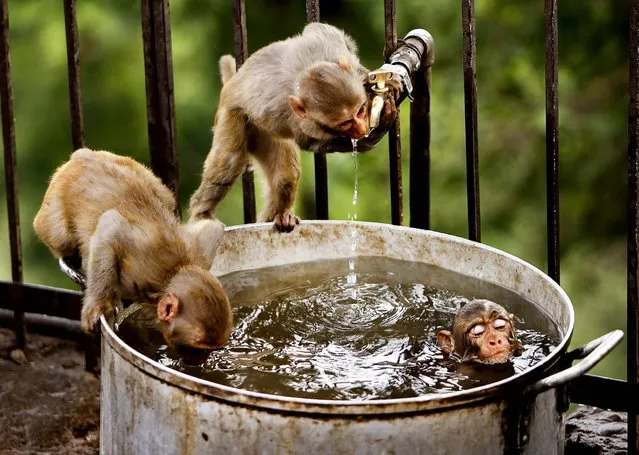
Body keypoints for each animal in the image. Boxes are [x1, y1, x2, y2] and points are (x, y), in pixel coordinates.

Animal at [33, 148, 234, 350]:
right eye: (199, 347)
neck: (172, 273)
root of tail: (83, 155)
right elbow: (111, 225)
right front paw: (99, 304)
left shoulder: (199, 252)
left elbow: (213, 227)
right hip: (55, 207)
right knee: (62, 238)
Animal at [188, 20, 402, 232]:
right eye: (345, 123)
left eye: (360, 111)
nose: (360, 129)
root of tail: (231, 84)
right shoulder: (302, 123)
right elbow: (310, 142)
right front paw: (373, 135)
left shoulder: (330, 44)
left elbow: (320, 29)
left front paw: (372, 81)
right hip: (233, 115)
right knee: (229, 161)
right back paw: (201, 214)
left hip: (261, 132)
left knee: (286, 176)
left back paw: (280, 217)